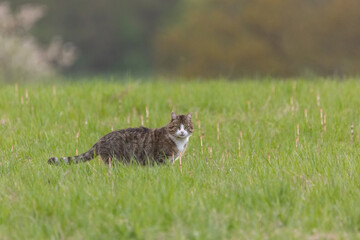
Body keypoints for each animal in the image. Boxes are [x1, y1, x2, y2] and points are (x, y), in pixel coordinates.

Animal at [50, 112, 194, 165]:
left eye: (186, 127)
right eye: (177, 127)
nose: (182, 132)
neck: (179, 142)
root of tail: (100, 140)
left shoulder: (171, 160)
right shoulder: (160, 158)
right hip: (113, 160)